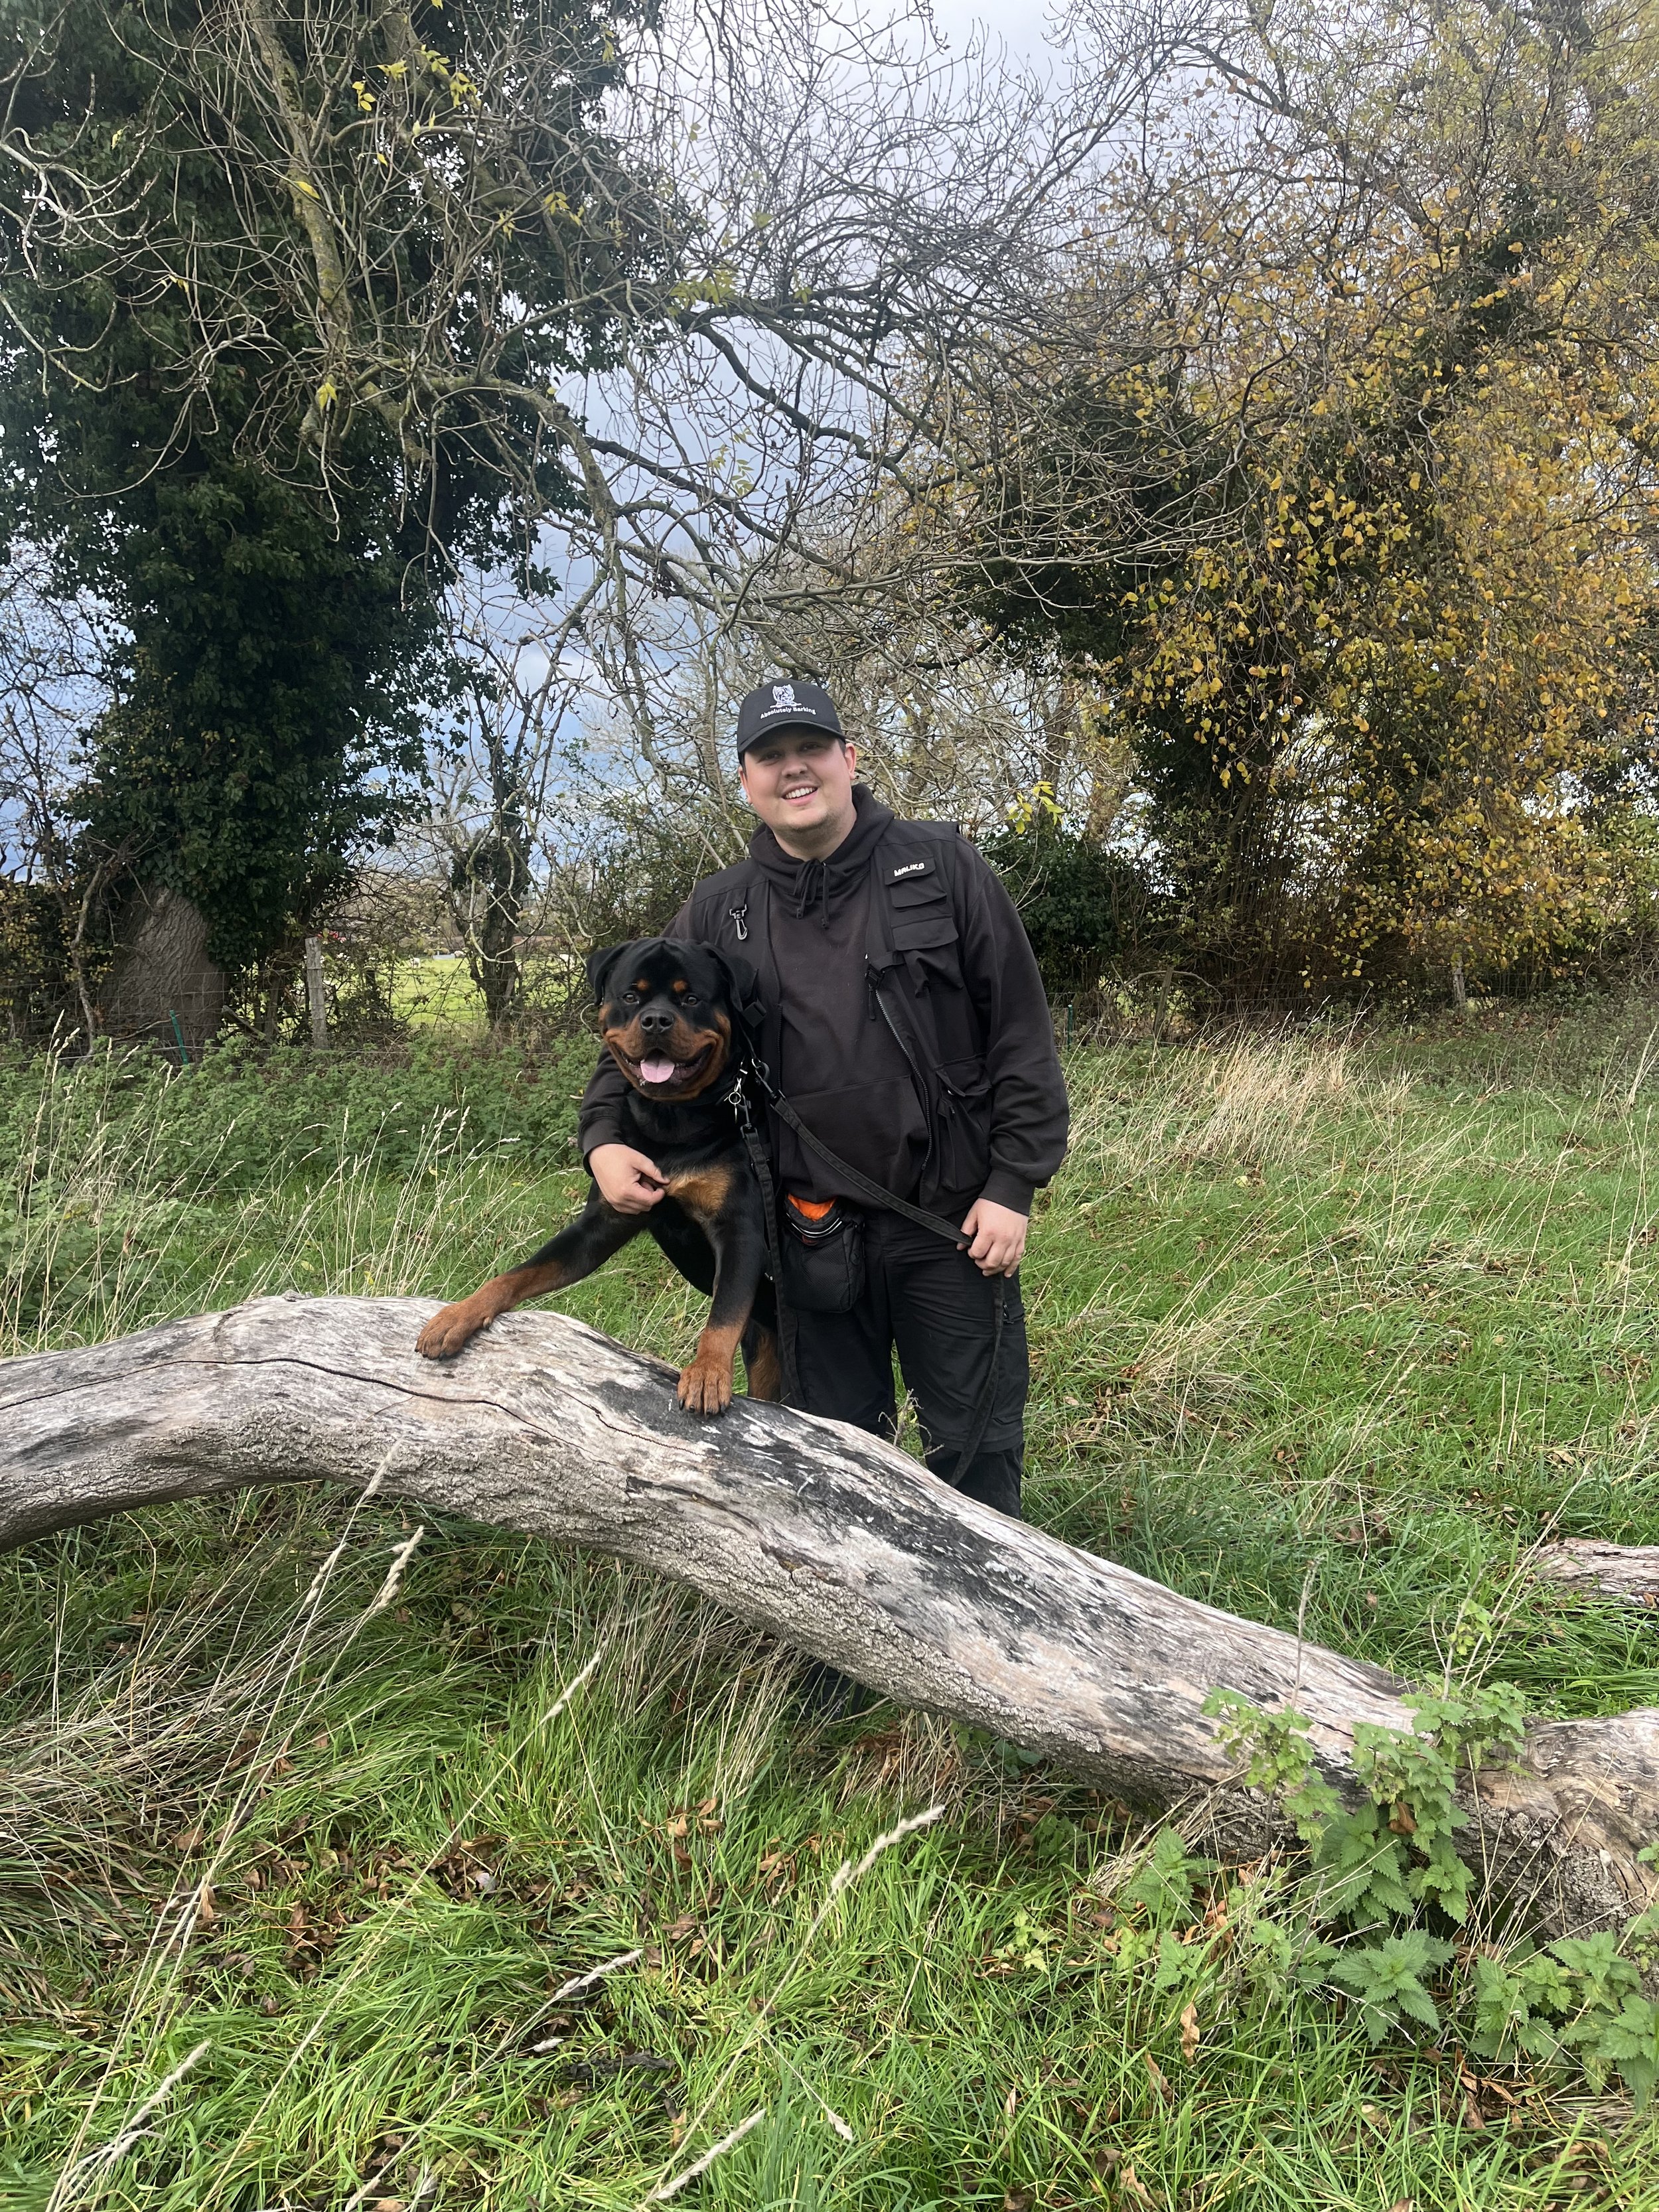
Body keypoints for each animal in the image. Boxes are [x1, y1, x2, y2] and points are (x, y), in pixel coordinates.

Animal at [415, 937, 780, 1415]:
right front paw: (457, 1314)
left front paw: (707, 1371)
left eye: (691, 999)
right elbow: (519, 1273)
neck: (671, 1121)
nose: (656, 1020)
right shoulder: (602, 1223)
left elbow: (723, 1315)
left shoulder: (740, 1231)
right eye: (631, 996)